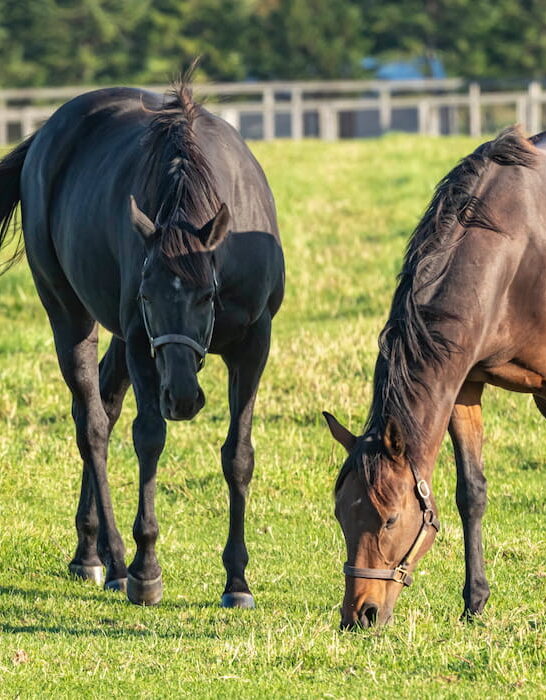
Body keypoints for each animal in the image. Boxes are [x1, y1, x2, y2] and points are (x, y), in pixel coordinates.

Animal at [0, 80, 282, 608]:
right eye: (148, 297)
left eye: (207, 294)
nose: (182, 397)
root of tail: (47, 133)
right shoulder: (138, 337)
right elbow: (149, 437)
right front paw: (145, 567)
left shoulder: (255, 342)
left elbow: (238, 454)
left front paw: (237, 580)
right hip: (70, 315)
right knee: (91, 424)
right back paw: (111, 562)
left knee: (105, 406)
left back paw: (87, 553)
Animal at [324, 126, 544, 628]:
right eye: (341, 515)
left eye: (388, 519)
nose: (359, 615)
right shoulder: (463, 384)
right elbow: (471, 492)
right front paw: (475, 600)